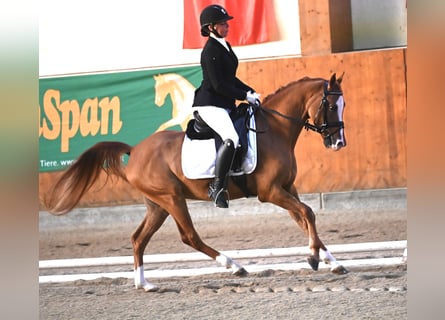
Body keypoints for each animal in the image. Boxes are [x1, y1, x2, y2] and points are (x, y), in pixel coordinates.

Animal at [44, 74, 346, 292]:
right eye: (331, 106)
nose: (339, 143)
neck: (274, 130)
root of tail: (135, 149)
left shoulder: (287, 188)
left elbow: (305, 218)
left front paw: (331, 262)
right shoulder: (269, 192)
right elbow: (307, 212)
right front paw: (314, 258)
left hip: (158, 205)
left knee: (138, 238)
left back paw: (145, 284)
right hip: (172, 198)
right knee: (189, 236)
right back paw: (233, 266)